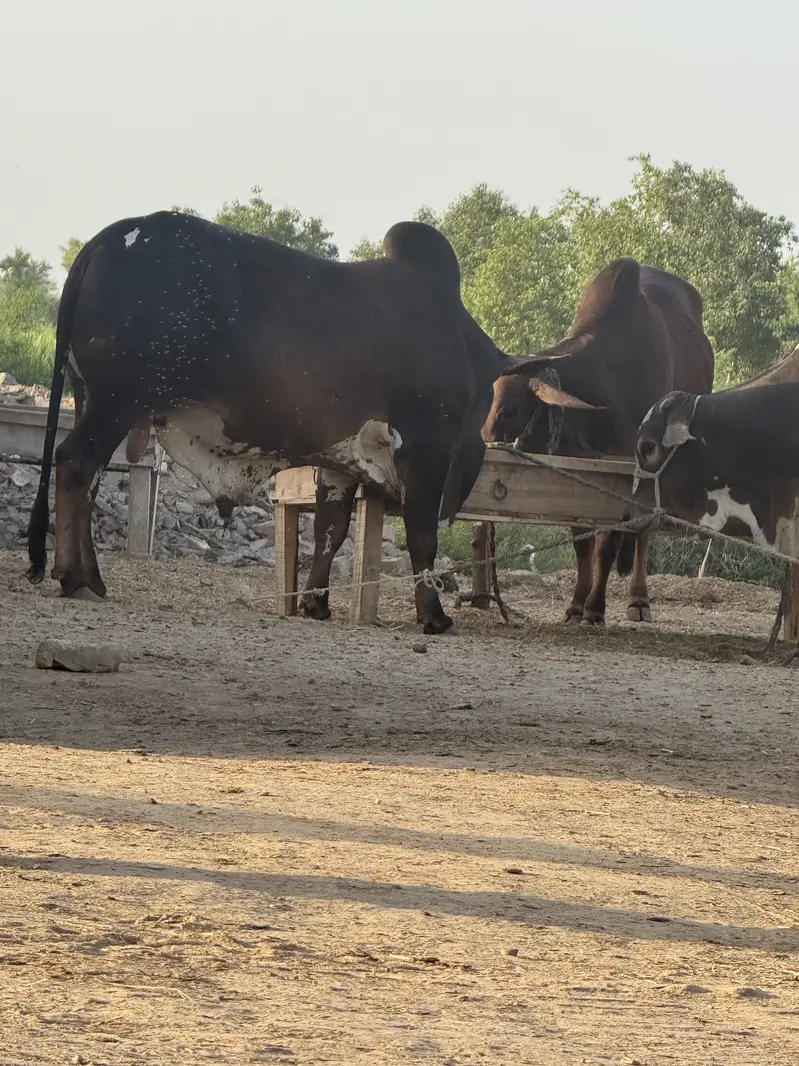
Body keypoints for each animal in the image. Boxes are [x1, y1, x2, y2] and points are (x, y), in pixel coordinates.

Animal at [26, 212, 502, 635]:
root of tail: (115, 234)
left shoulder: (340, 461)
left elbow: (331, 530)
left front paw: (315, 603)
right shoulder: (425, 450)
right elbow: (422, 537)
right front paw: (434, 616)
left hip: (91, 397)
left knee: (87, 476)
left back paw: (88, 575)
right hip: (117, 401)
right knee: (76, 464)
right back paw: (76, 577)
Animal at [469, 258, 714, 625]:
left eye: (509, 409)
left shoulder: (625, 471)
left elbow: (607, 543)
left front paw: (595, 607)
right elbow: (582, 542)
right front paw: (576, 603)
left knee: (643, 533)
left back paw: (638, 599)